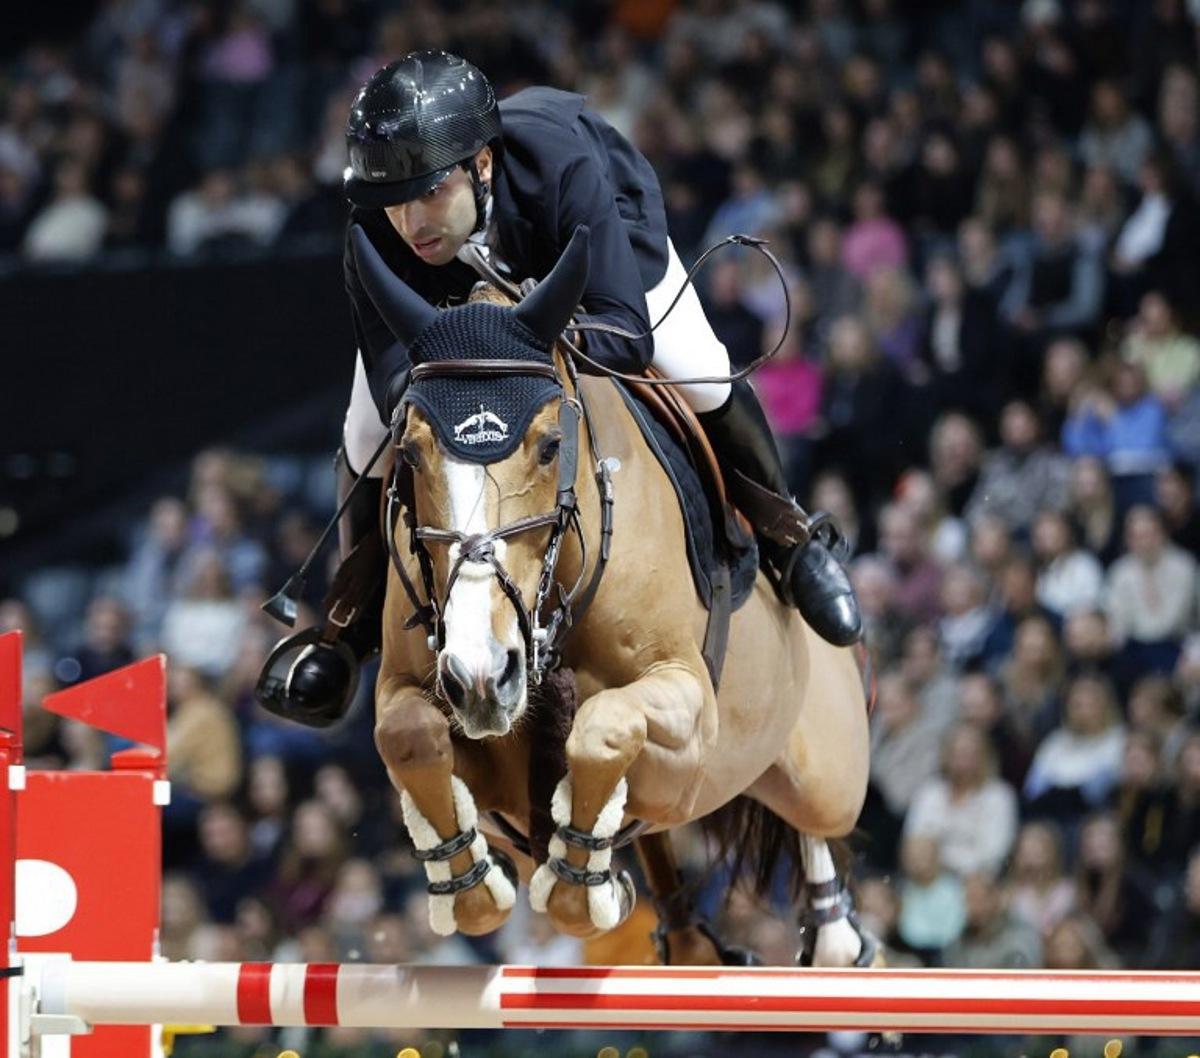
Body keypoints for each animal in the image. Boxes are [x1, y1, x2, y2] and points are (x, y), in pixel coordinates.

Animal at [353, 224, 874, 966]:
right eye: (411, 453)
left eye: (549, 446)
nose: (484, 678)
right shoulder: (414, 690)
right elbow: (409, 735)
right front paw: (471, 882)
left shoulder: (687, 713)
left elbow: (603, 730)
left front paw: (578, 886)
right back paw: (687, 936)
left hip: (825, 770)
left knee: (820, 822)